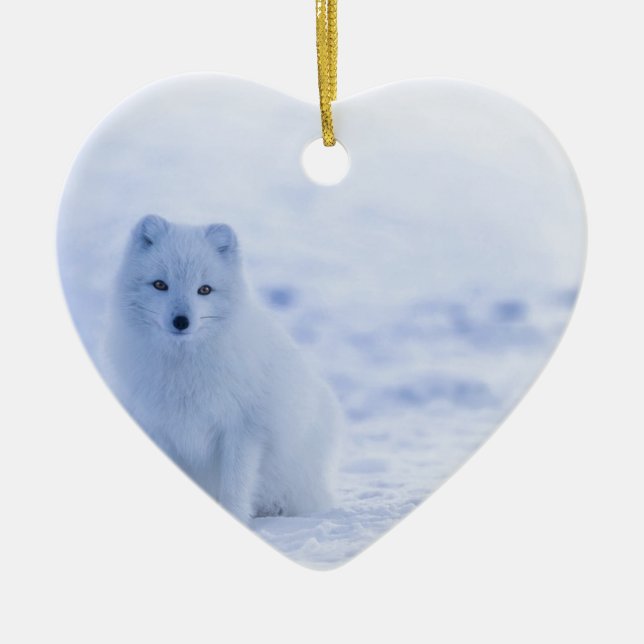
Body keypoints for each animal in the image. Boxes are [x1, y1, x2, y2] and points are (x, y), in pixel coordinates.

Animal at [102, 214, 340, 522]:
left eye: (204, 289)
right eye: (160, 285)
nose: (181, 321)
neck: (184, 370)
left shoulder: (243, 429)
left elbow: (235, 488)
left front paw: (236, 518)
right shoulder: (160, 428)